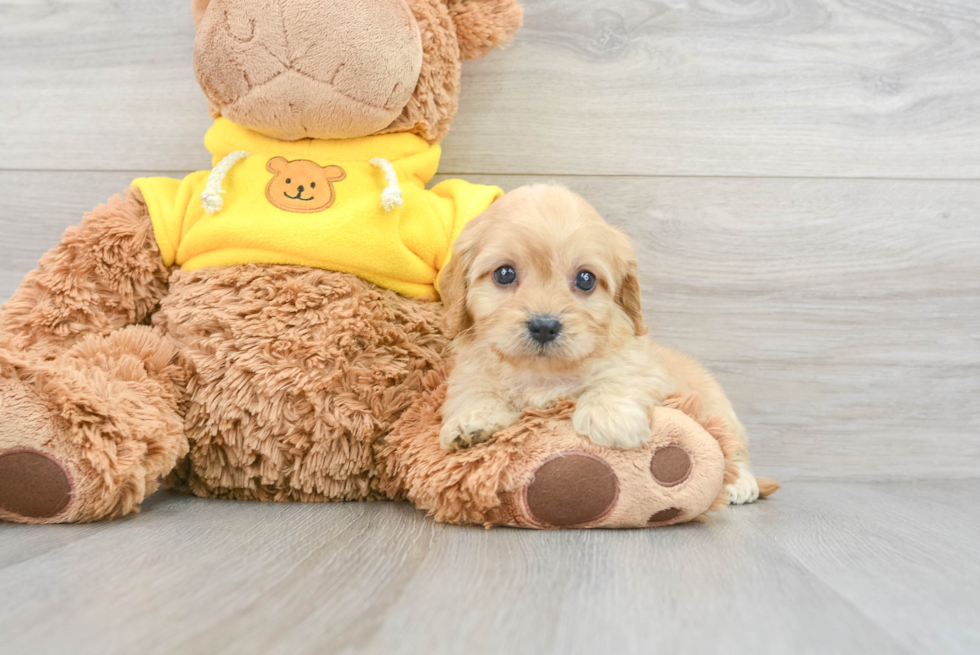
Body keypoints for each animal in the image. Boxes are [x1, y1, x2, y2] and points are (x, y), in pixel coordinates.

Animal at [440, 186, 760, 508]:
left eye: (585, 279)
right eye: (504, 274)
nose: (544, 326)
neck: (543, 373)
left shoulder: (643, 366)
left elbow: (618, 378)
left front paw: (610, 419)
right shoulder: (471, 373)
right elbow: (476, 391)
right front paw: (471, 421)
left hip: (720, 413)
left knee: (733, 449)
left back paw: (741, 484)